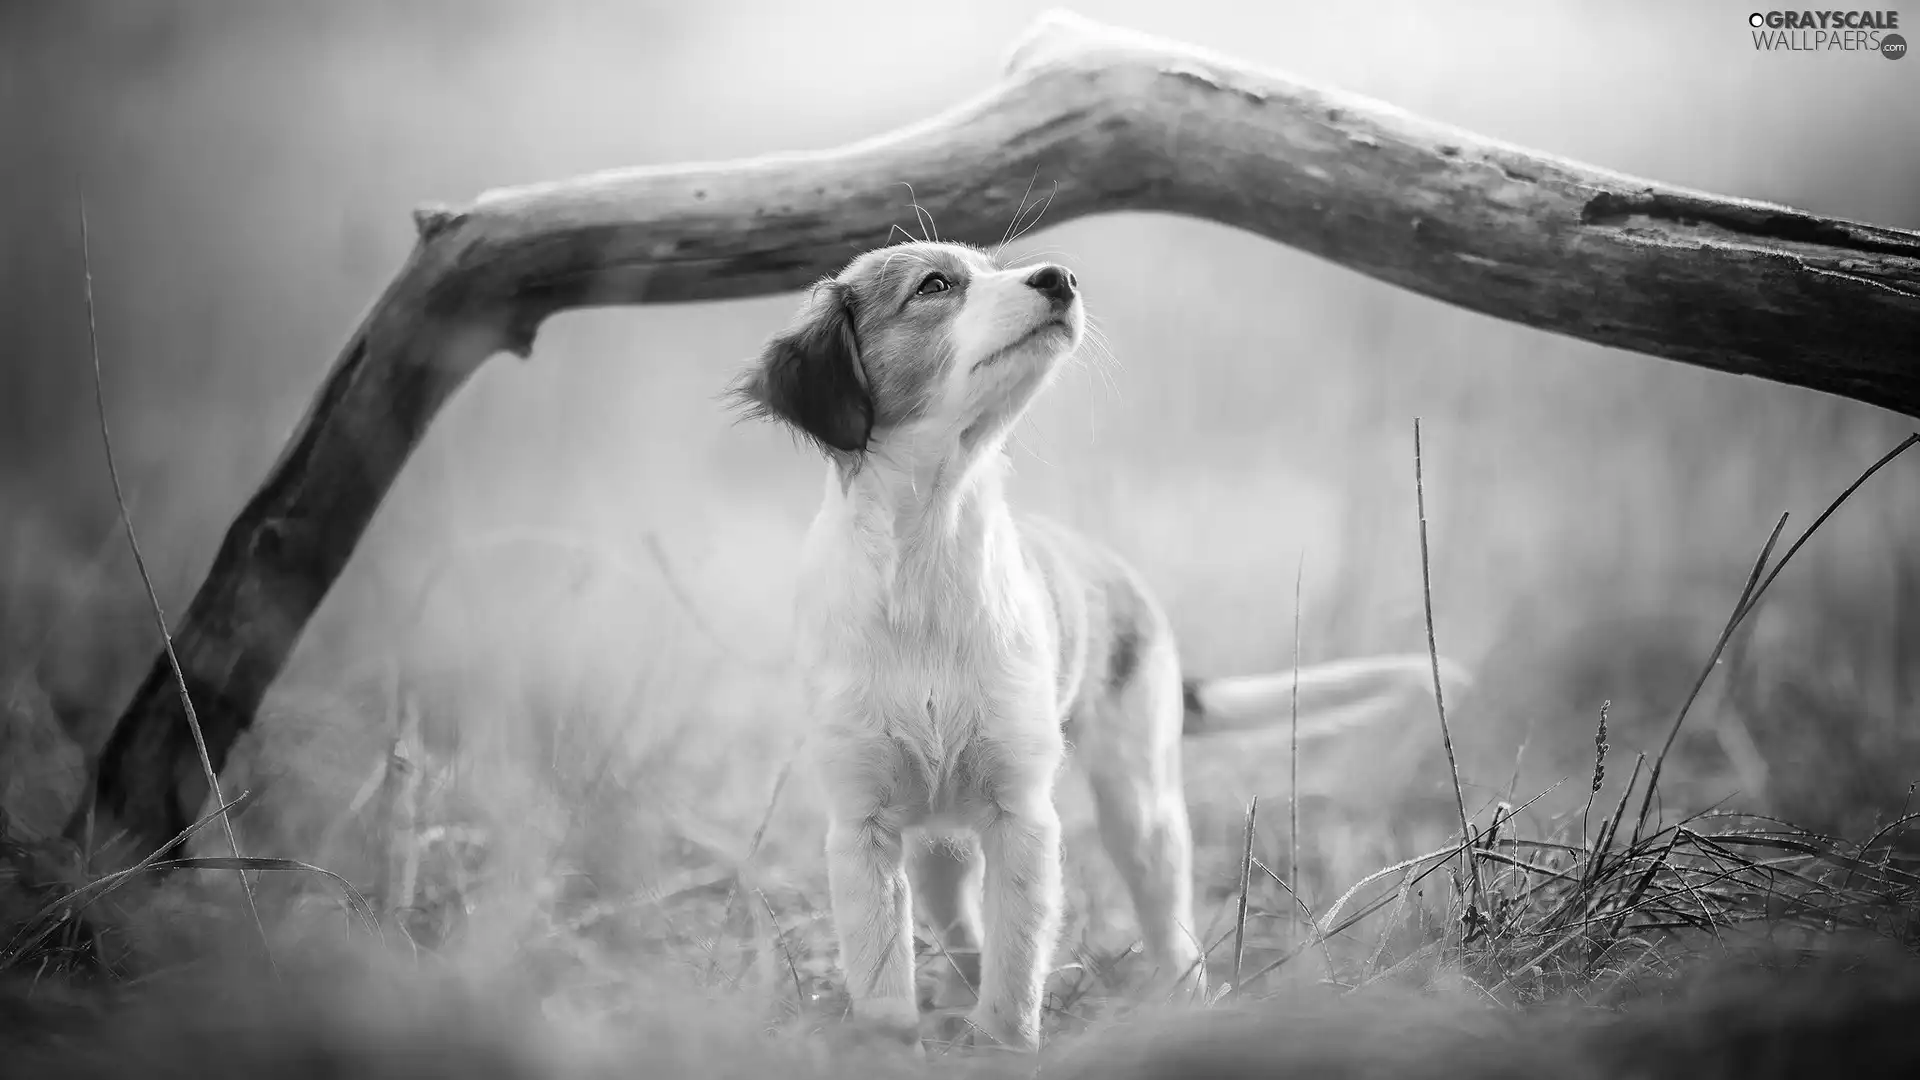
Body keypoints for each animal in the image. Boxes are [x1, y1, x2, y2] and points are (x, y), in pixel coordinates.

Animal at [733, 239, 1466, 1045]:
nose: (1058, 277)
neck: (929, 549)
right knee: (958, 919)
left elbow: (1016, 974)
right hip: (938, 841)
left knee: (1169, 927)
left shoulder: (1022, 814)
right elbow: (887, 988)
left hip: (1141, 804)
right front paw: (898, 1046)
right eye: (934, 285)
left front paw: (1004, 1046)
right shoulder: (862, 825)